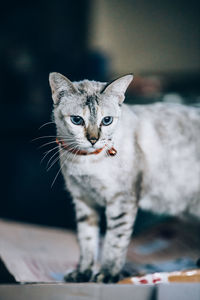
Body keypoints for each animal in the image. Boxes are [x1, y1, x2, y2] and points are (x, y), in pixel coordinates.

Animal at [48, 72, 200, 284]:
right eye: (77, 120)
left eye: (107, 120)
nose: (93, 139)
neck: (85, 161)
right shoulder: (84, 200)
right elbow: (87, 242)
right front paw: (83, 273)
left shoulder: (121, 200)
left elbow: (114, 242)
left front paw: (107, 274)